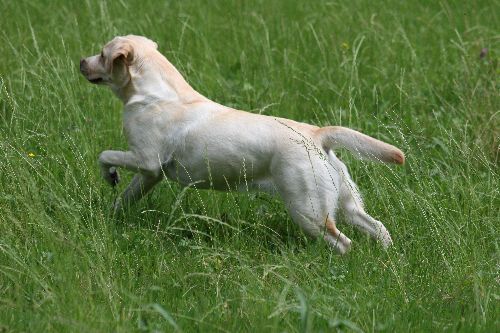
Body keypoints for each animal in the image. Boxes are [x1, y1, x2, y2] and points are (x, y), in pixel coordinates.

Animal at [80, 35, 404, 253]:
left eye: (102, 54)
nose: (81, 62)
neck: (154, 94)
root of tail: (316, 133)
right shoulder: (151, 174)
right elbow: (125, 197)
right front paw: (111, 216)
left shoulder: (145, 159)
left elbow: (104, 155)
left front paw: (110, 175)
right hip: (346, 202)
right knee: (378, 228)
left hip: (308, 210)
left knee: (343, 243)